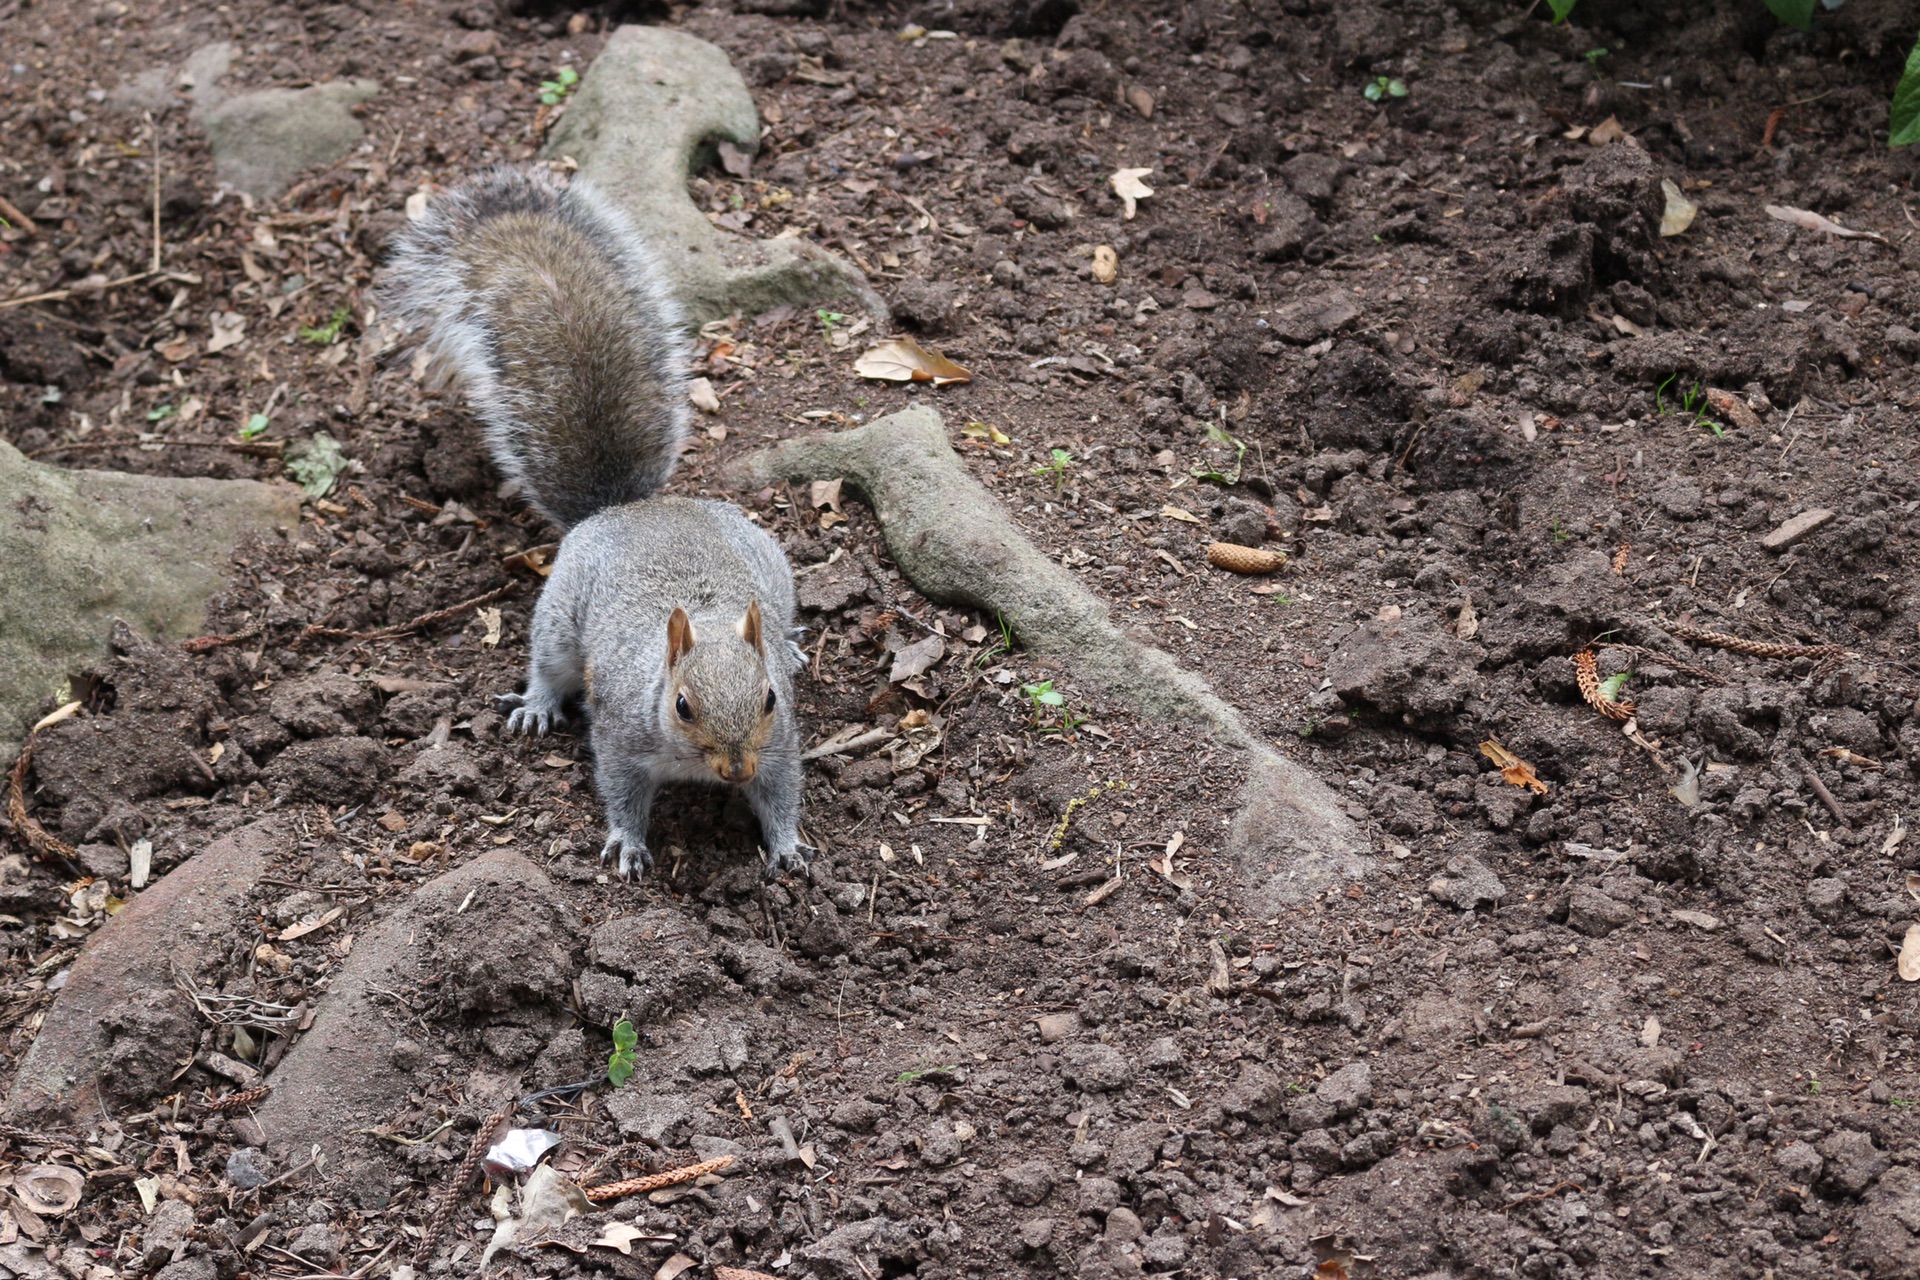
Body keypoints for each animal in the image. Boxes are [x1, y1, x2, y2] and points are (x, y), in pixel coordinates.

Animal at [385, 167, 806, 882]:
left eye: (771, 698)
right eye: (682, 704)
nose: (734, 768)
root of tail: (627, 508)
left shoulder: (778, 746)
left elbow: (780, 792)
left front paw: (787, 846)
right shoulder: (618, 738)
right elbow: (621, 793)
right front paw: (629, 844)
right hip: (558, 620)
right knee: (547, 664)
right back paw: (536, 706)